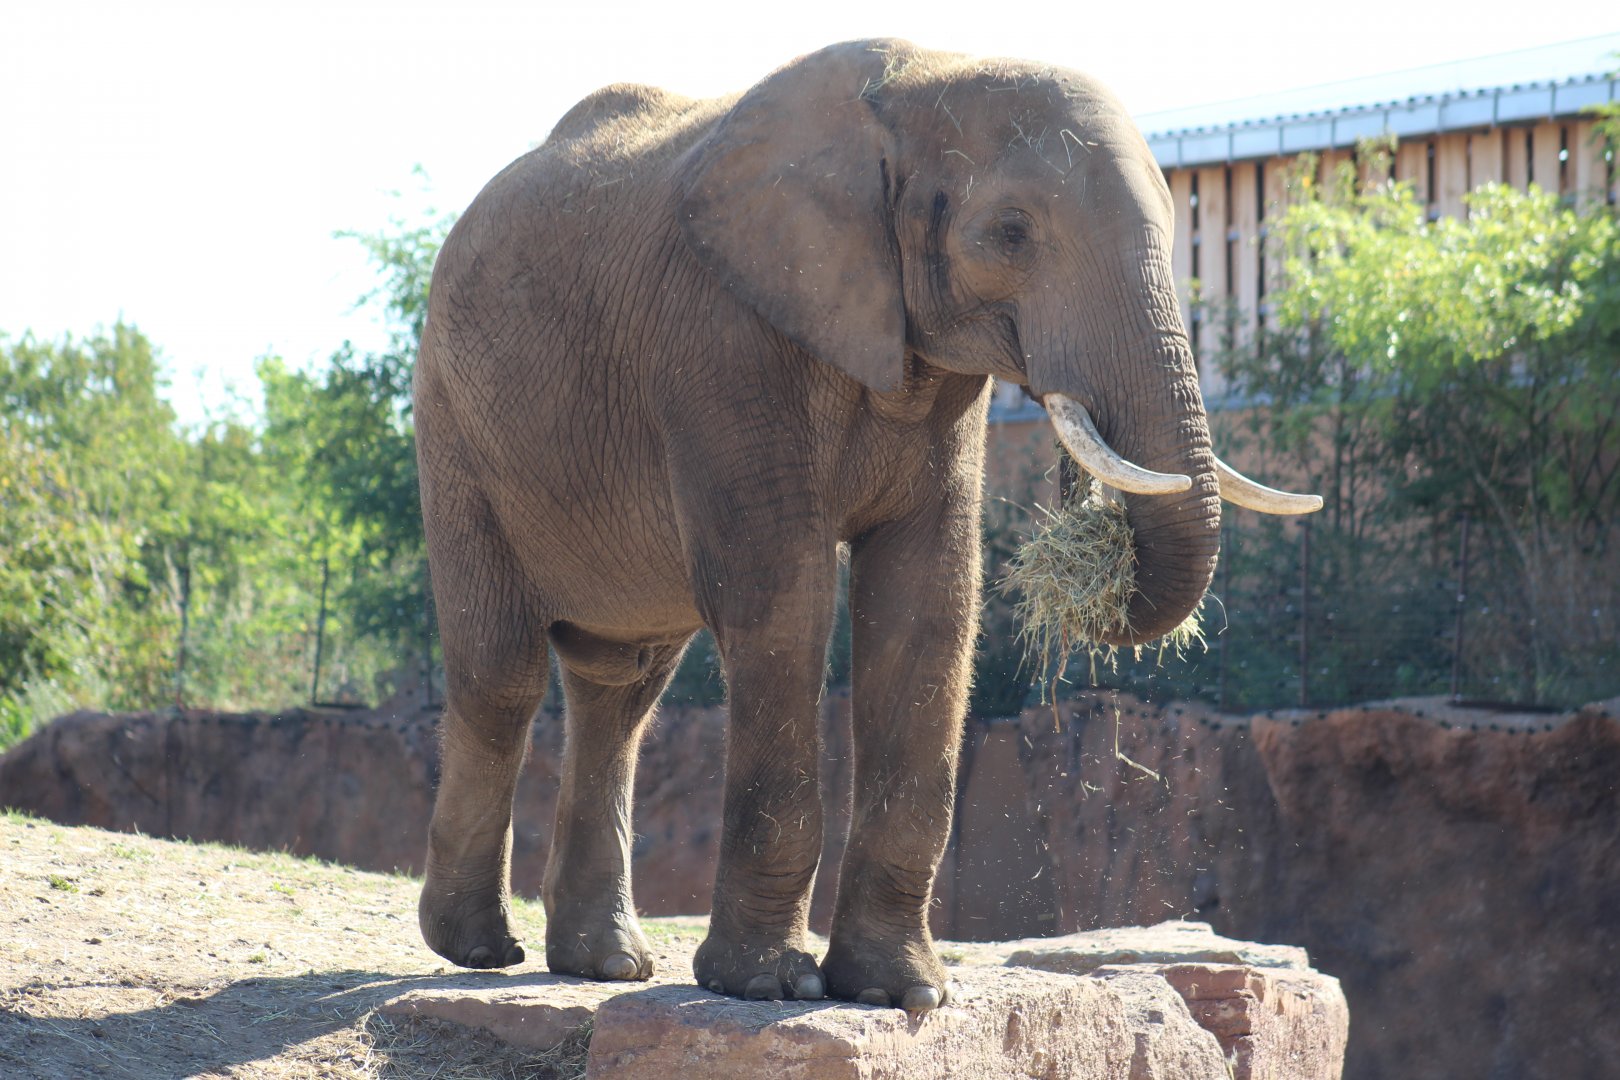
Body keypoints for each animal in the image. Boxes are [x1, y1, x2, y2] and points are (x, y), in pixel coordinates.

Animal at [412, 38, 1318, 1013]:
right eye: (1010, 233)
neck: (925, 76)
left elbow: (928, 601)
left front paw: (899, 993)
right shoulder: (727, 341)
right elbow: (785, 598)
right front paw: (768, 986)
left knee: (623, 687)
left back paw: (604, 963)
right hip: (454, 426)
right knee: (504, 672)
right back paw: (478, 949)